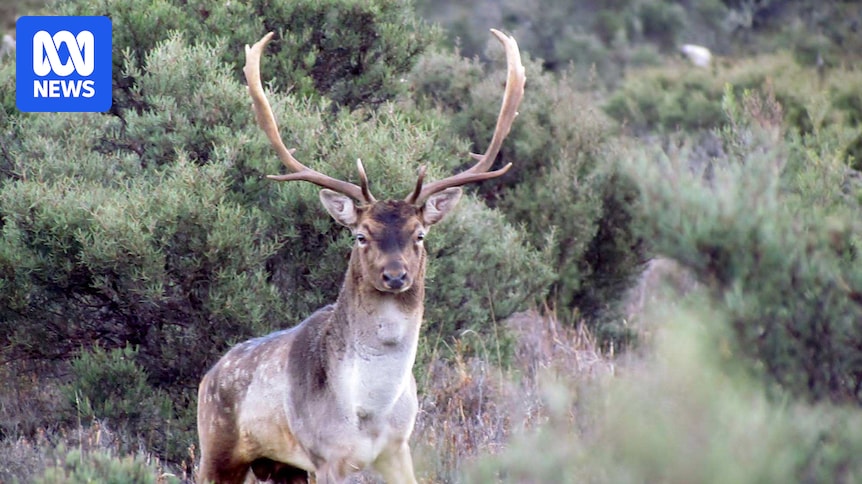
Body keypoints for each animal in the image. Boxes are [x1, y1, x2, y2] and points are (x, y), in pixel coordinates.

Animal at [196, 28, 525, 484]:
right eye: (360, 236)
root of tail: (207, 376)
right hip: (217, 448)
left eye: (419, 234)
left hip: (282, 466)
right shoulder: (326, 456)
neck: (367, 411)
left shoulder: (398, 448)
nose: (395, 275)